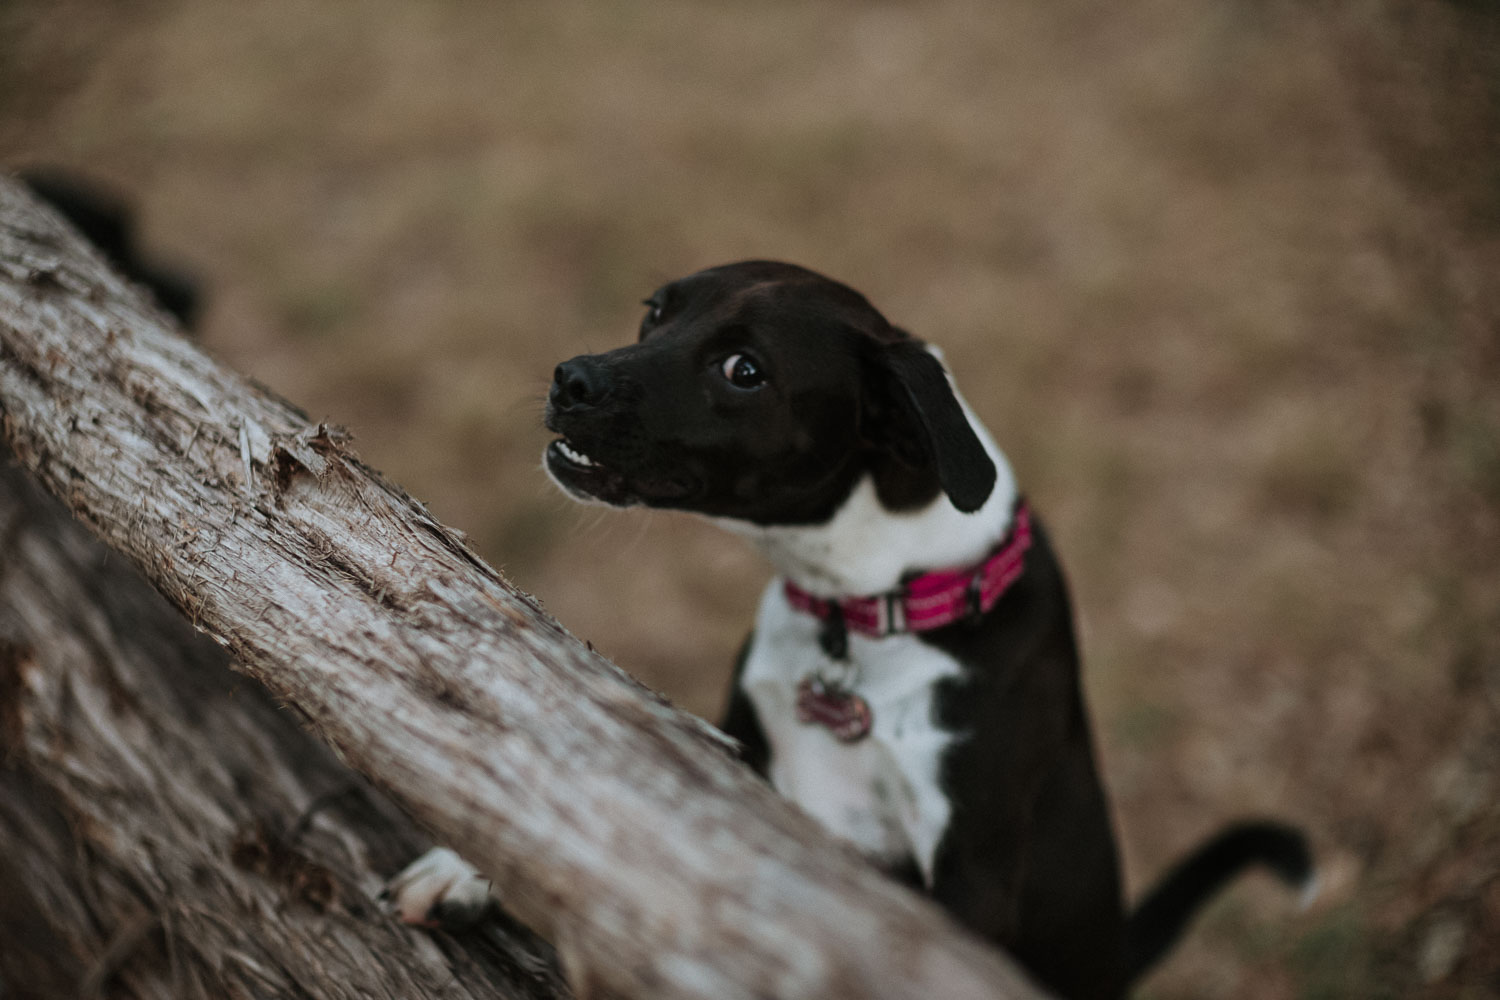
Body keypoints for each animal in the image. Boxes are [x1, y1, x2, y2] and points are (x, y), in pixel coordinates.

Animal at [390, 260, 1314, 1000]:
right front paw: (472, 866)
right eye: (657, 310)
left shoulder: (970, 878)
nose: (572, 380)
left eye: (745, 369)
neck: (869, 613)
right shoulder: (741, 756)